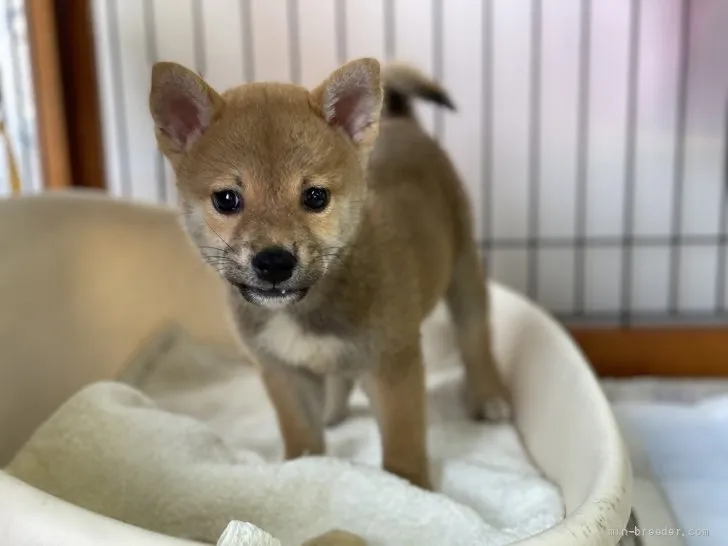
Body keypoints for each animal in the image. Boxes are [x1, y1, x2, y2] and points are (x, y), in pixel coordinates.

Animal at [148, 57, 510, 486]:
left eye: (315, 197)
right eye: (226, 199)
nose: (274, 261)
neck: (305, 307)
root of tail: (401, 121)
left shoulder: (392, 367)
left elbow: (403, 450)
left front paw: (413, 490)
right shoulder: (284, 373)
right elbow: (303, 438)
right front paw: (305, 470)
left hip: (464, 271)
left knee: (475, 338)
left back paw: (489, 396)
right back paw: (334, 411)